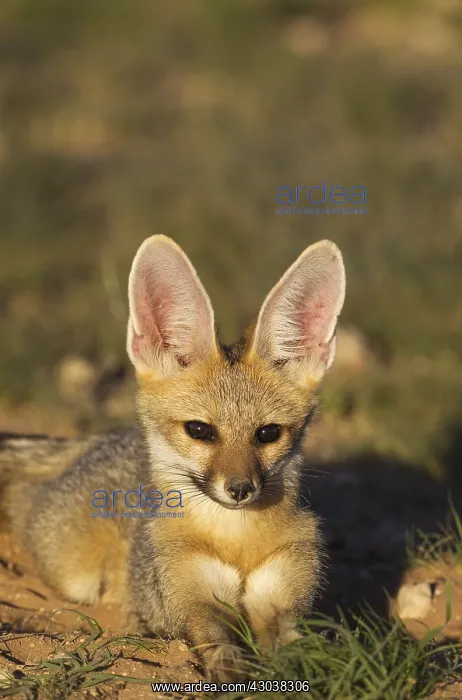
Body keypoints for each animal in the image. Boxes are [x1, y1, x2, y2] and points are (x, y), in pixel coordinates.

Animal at [0, 235, 345, 679]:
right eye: (199, 430)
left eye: (268, 434)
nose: (240, 489)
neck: (236, 543)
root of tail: (102, 439)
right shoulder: (191, 597)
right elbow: (215, 639)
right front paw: (230, 670)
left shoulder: (282, 592)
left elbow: (293, 643)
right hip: (76, 575)